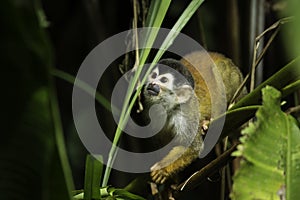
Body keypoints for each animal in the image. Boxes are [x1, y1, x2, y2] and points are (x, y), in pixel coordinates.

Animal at [136, 51, 246, 184]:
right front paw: (172, 183)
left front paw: (162, 170)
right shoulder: (148, 111)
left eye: (163, 80)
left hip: (234, 78)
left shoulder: (186, 113)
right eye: (153, 76)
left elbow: (193, 148)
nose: (152, 84)